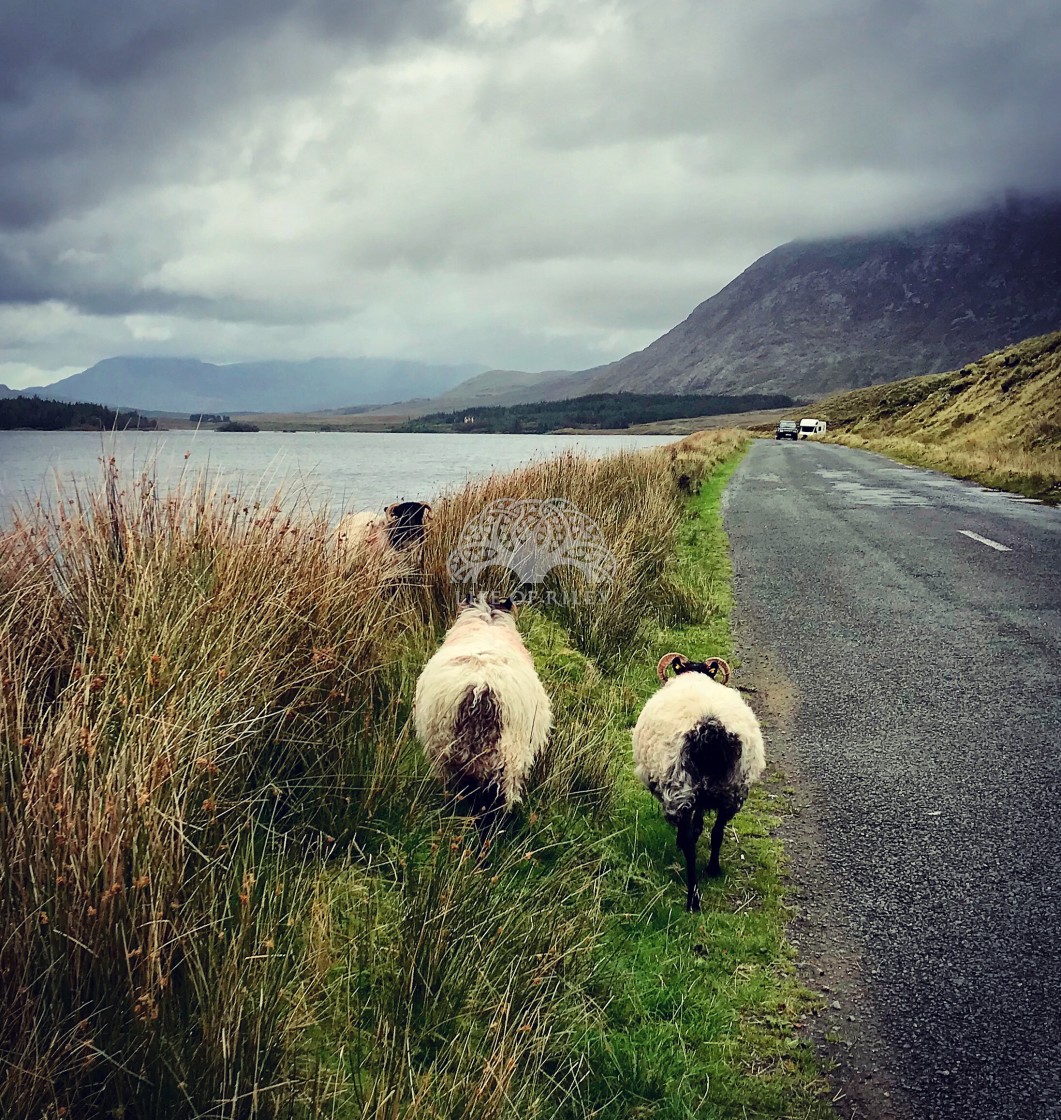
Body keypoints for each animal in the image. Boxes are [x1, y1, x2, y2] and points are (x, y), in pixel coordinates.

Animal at [636, 654, 766, 909]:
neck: (695, 674)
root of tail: (711, 728)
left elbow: (690, 832)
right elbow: (701, 825)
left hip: (680, 785)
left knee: (689, 845)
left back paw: (692, 899)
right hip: (731, 789)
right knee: (718, 832)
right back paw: (713, 869)